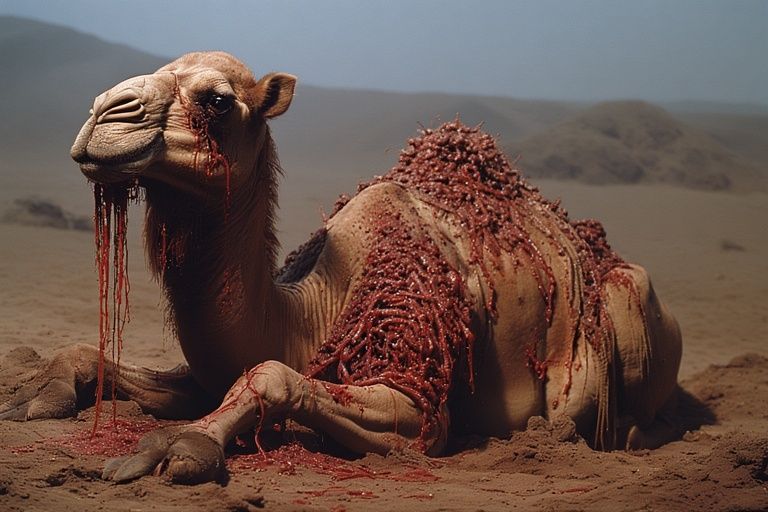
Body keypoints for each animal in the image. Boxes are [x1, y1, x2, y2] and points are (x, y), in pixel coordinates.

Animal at [0, 52, 682, 484]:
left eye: (217, 100)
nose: (104, 112)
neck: (309, 311)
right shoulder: (208, 369)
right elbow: (110, 359)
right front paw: (33, 395)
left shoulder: (418, 396)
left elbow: (272, 376)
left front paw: (177, 445)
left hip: (631, 303)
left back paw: (608, 434)